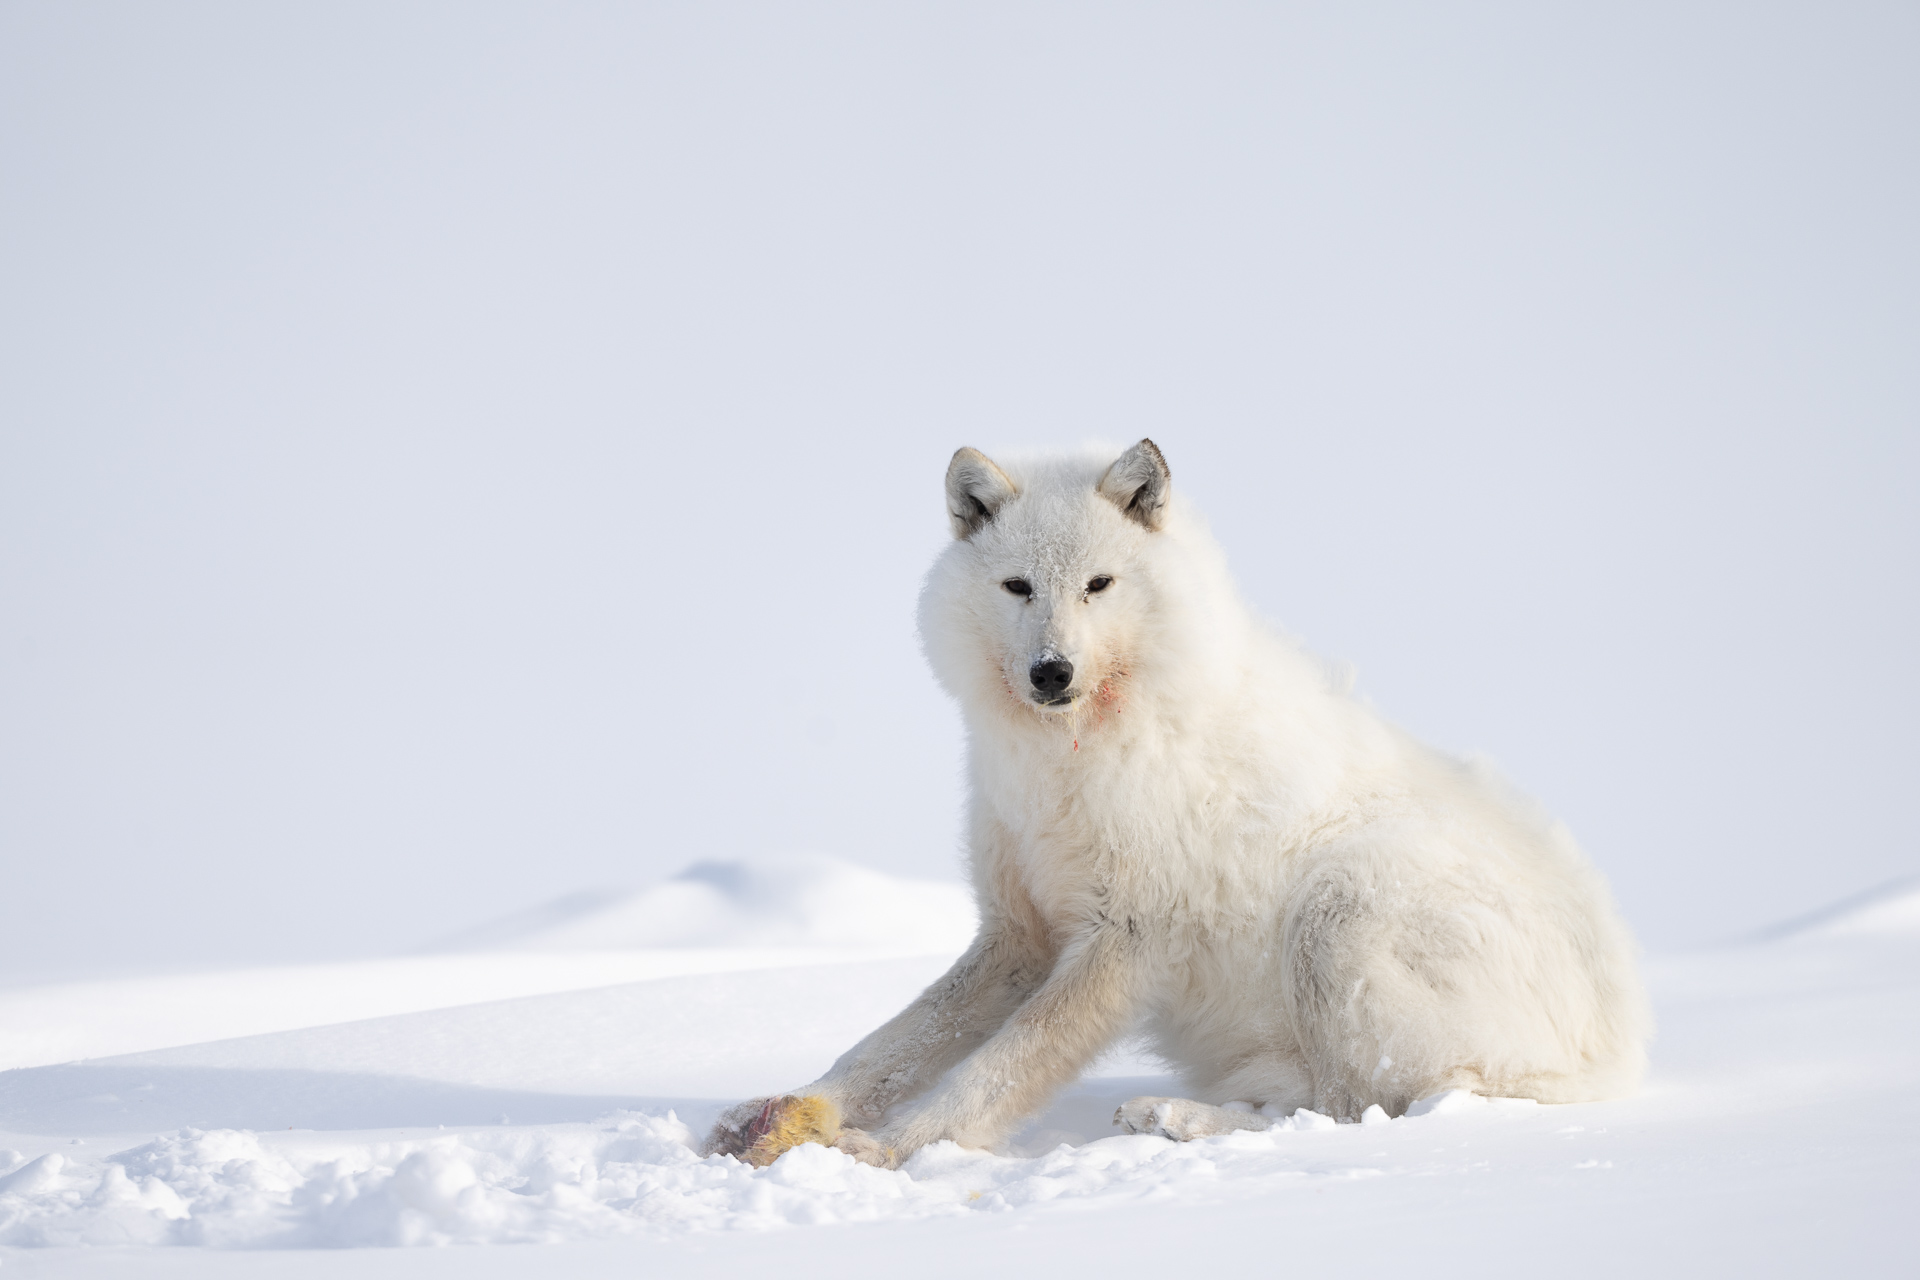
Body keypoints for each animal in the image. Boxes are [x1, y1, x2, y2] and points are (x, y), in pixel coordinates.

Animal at [704, 440, 1650, 1168]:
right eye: (1017, 587)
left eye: (1098, 585)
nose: (1052, 672)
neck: (1072, 760)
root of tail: (1621, 1051)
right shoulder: (1017, 935)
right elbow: (893, 1040)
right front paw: (794, 1107)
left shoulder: (1123, 937)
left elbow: (1001, 1064)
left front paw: (895, 1148)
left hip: (1337, 913)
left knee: (1354, 1108)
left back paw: (1181, 1118)